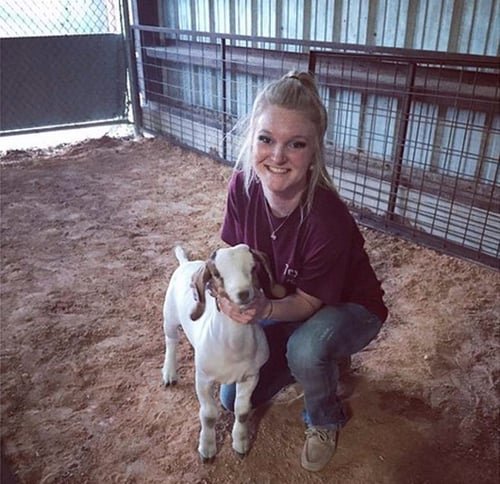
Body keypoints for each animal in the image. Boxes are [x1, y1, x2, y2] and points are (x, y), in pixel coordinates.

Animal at [161, 244, 285, 461]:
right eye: (217, 274)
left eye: (253, 267)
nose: (243, 293)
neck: (234, 349)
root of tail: (185, 263)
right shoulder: (203, 379)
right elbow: (209, 414)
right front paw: (207, 449)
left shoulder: (251, 376)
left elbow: (242, 410)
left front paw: (240, 443)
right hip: (169, 315)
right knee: (171, 341)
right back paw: (169, 374)